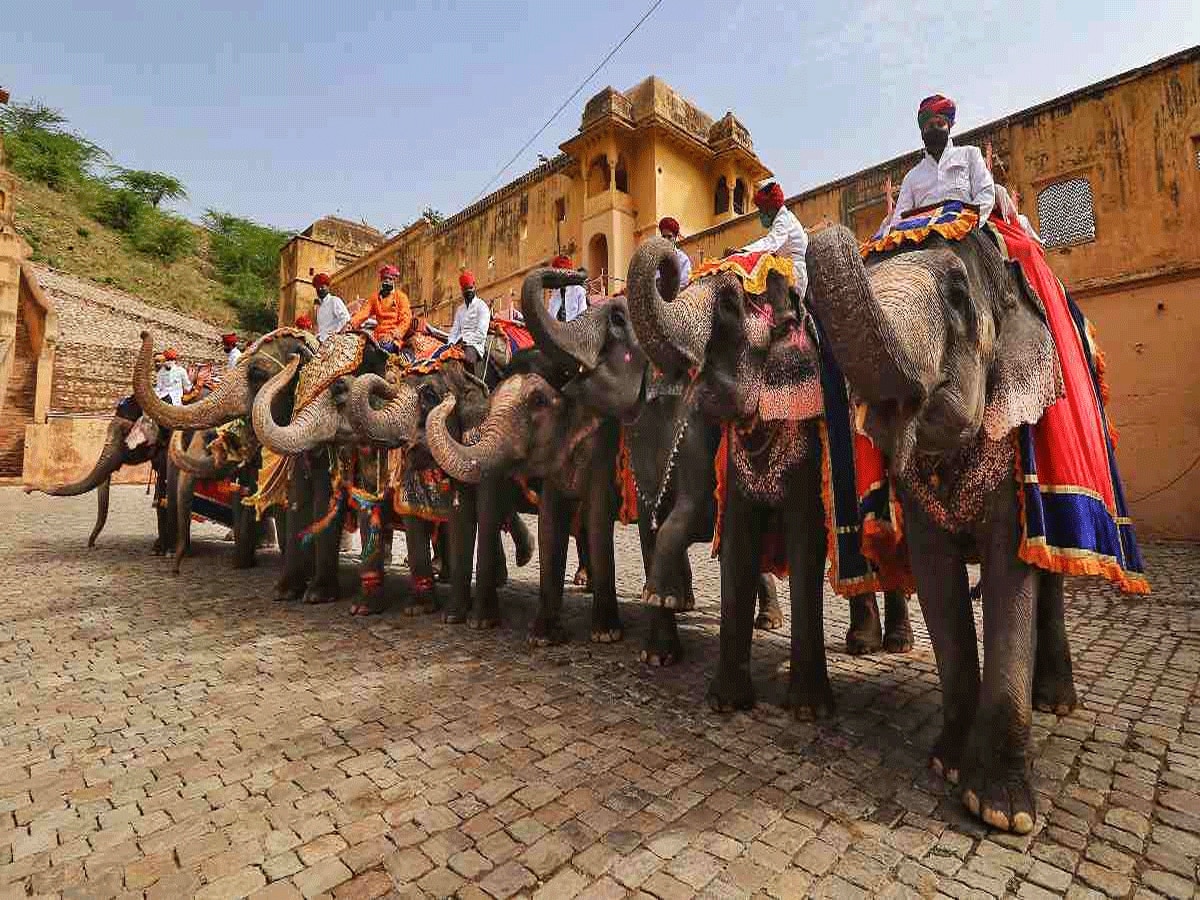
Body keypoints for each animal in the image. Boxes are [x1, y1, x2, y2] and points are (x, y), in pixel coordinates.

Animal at [803, 223, 1082, 833]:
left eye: (956, 295)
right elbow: (936, 577)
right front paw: (948, 762)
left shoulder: (1015, 431)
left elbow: (1011, 572)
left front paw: (1002, 811)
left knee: (1051, 567)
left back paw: (1057, 701)